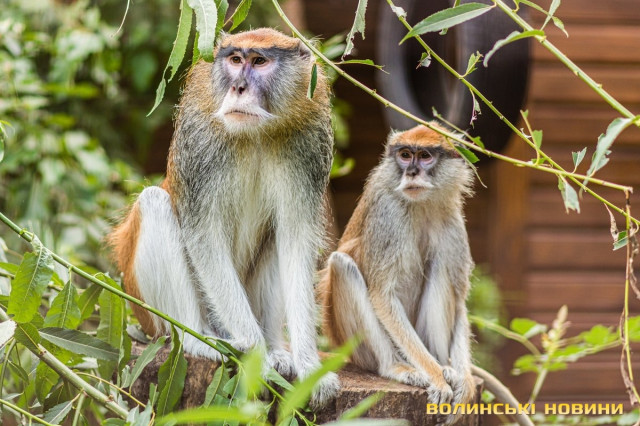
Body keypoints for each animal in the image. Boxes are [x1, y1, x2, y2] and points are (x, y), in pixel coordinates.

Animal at [109, 28, 338, 407]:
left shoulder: (308, 146)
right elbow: (204, 239)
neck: (256, 135)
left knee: (275, 237)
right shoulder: (200, 143)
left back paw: (276, 348)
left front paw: (308, 368)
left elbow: (295, 241)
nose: (238, 88)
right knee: (155, 203)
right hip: (153, 316)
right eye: (234, 59)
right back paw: (199, 341)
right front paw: (260, 361)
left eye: (259, 61)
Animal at [318, 124, 534, 426]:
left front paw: (464, 382)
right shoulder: (388, 215)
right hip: (356, 349)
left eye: (425, 156)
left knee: (440, 269)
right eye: (405, 155)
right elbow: (382, 296)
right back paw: (399, 367)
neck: (420, 204)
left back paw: (447, 367)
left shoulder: (453, 223)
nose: (411, 172)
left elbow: (459, 301)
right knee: (342, 265)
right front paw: (436, 378)